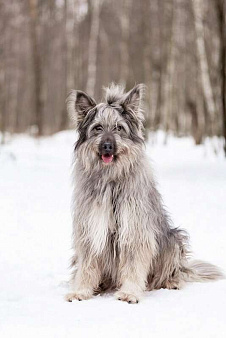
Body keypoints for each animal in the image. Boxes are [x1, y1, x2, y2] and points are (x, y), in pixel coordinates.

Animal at [64, 84, 223, 304]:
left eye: (119, 128)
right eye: (98, 128)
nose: (107, 146)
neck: (111, 179)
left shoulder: (135, 229)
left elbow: (133, 265)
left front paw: (129, 292)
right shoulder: (91, 229)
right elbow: (87, 265)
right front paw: (81, 291)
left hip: (173, 239)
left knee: (173, 271)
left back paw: (171, 281)